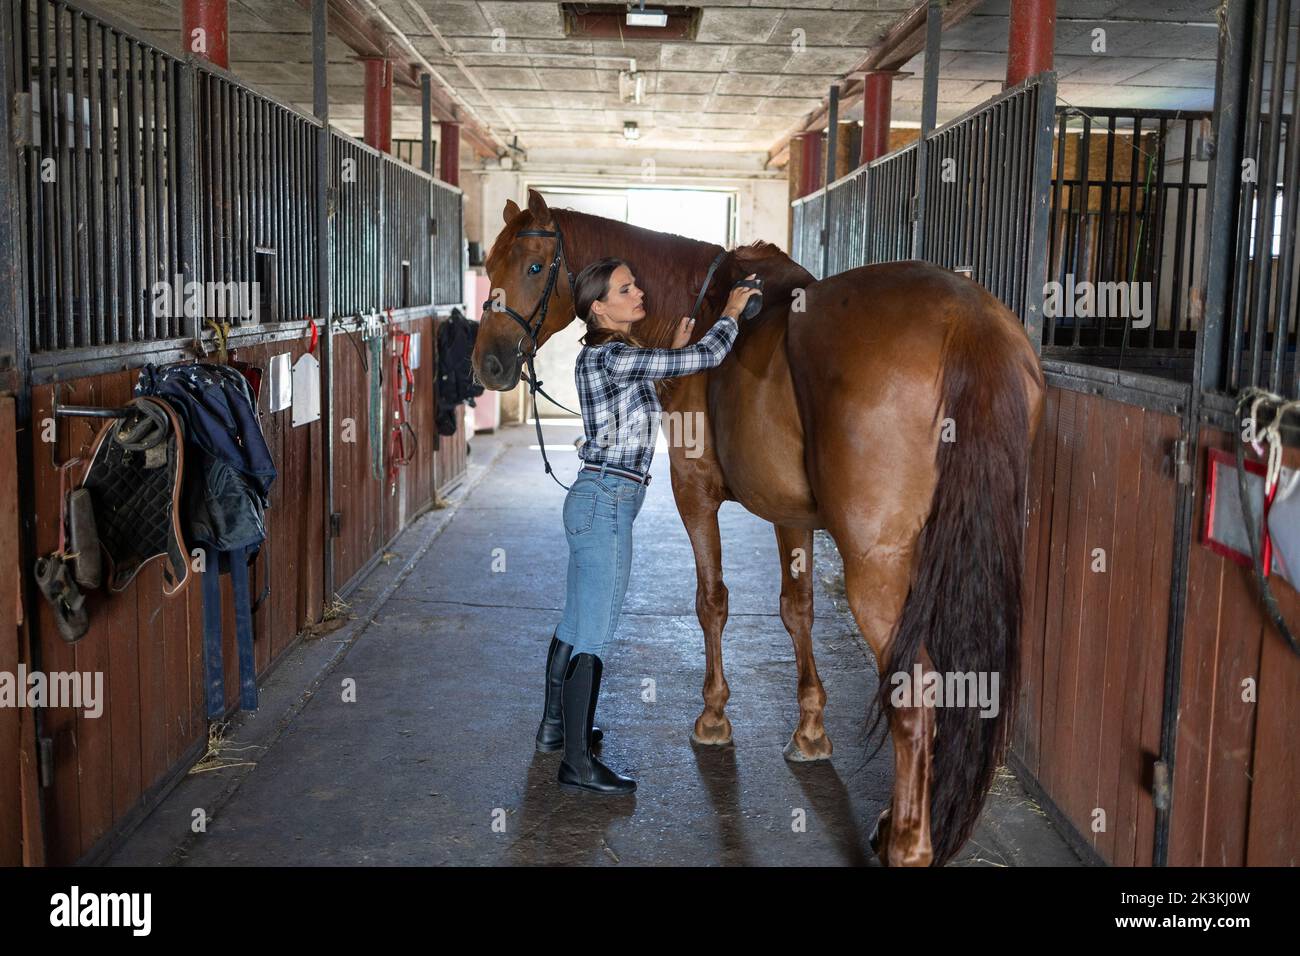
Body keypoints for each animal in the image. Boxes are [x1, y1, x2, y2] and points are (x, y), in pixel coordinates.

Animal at [472, 188, 1045, 866]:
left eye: (534, 267)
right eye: (492, 264)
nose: (489, 363)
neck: (698, 306)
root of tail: (966, 320)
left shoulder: (693, 491)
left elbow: (712, 601)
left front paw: (714, 720)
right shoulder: (792, 516)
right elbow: (797, 609)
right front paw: (811, 732)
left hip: (877, 569)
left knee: (915, 694)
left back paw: (905, 842)